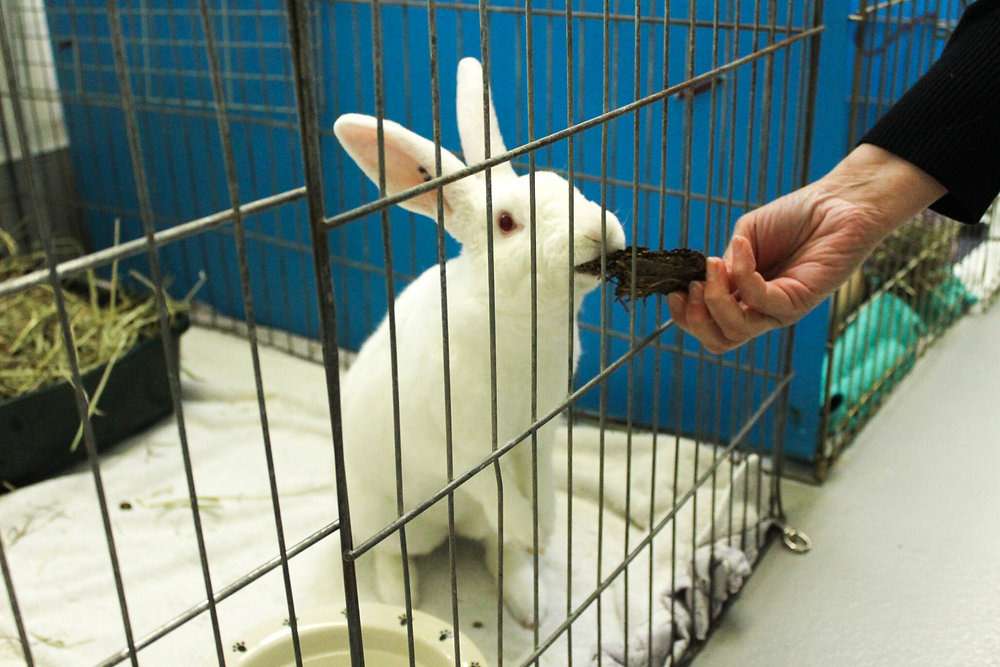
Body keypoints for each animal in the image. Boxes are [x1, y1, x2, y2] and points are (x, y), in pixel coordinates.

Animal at [333, 57, 626, 628]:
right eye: (506, 223)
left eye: (567, 188)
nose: (600, 232)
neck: (522, 323)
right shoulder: (468, 451)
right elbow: (499, 491)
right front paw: (535, 534)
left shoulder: (539, 434)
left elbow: (542, 488)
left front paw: (544, 535)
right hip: (388, 517)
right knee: (389, 553)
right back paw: (401, 599)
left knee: (496, 550)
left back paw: (528, 601)